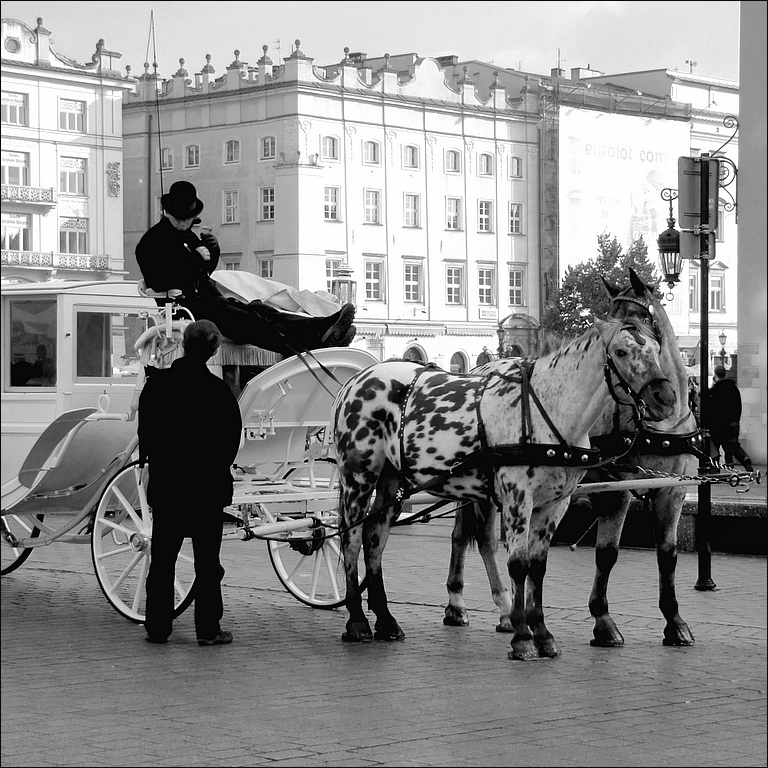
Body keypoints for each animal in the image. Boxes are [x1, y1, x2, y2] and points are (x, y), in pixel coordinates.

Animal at [332, 316, 676, 660]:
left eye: (657, 348)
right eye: (620, 352)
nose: (665, 398)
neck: (547, 409)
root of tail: (356, 381)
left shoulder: (554, 504)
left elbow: (537, 566)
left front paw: (543, 634)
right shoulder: (517, 497)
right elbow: (518, 565)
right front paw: (522, 637)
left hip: (392, 483)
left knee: (375, 538)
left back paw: (386, 620)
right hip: (358, 477)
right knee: (351, 539)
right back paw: (357, 621)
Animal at [444, 270, 708, 648]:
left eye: (640, 319)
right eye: (612, 317)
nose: (663, 399)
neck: (659, 425)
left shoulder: (672, 490)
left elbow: (667, 555)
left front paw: (675, 621)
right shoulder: (616, 490)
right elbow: (607, 553)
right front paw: (603, 620)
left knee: (476, 537)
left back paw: (496, 611)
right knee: (469, 536)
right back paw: (468, 605)